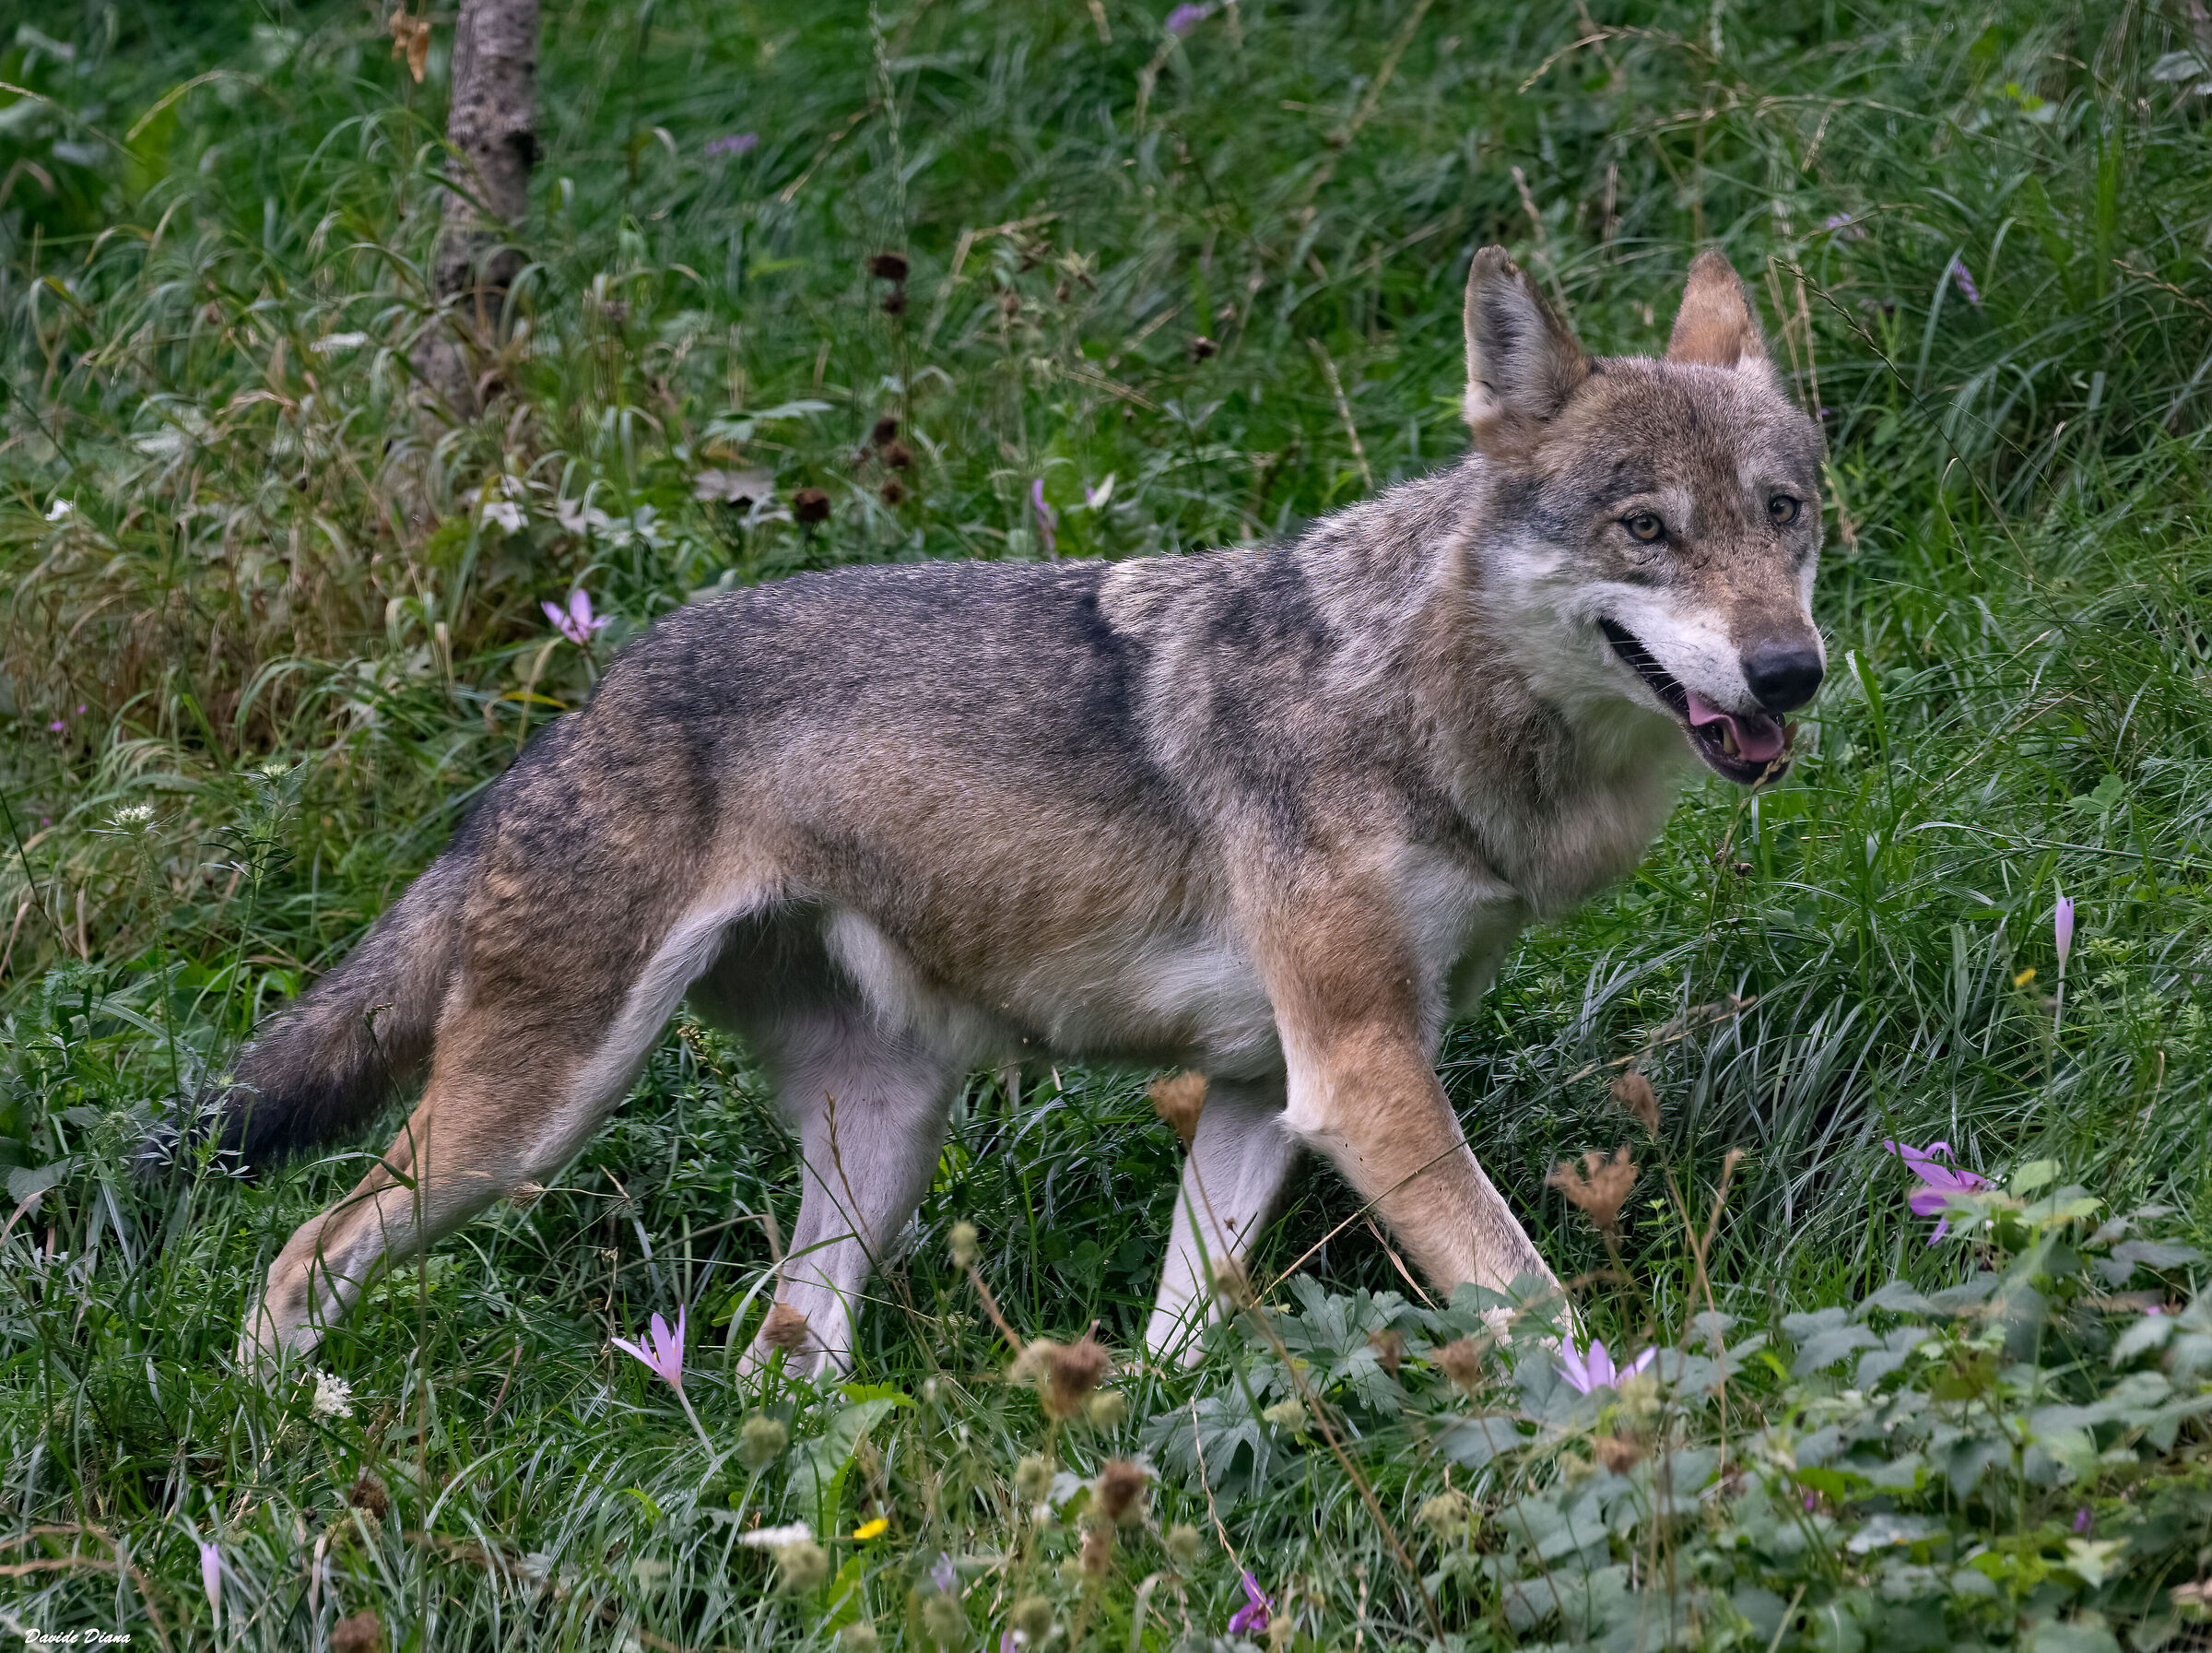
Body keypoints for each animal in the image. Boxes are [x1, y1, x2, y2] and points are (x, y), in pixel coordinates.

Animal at [198, 247, 1823, 1377]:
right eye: (1647, 528)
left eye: (1785, 515)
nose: (1791, 669)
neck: (1416, 693)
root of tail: (584, 708)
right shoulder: (1363, 1072)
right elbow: (1529, 1298)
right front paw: (1644, 1410)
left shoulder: (1264, 1083)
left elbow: (1184, 1329)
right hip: (534, 1120)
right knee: (302, 1246)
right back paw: (286, 1420)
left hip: (883, 1139)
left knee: (778, 1354)